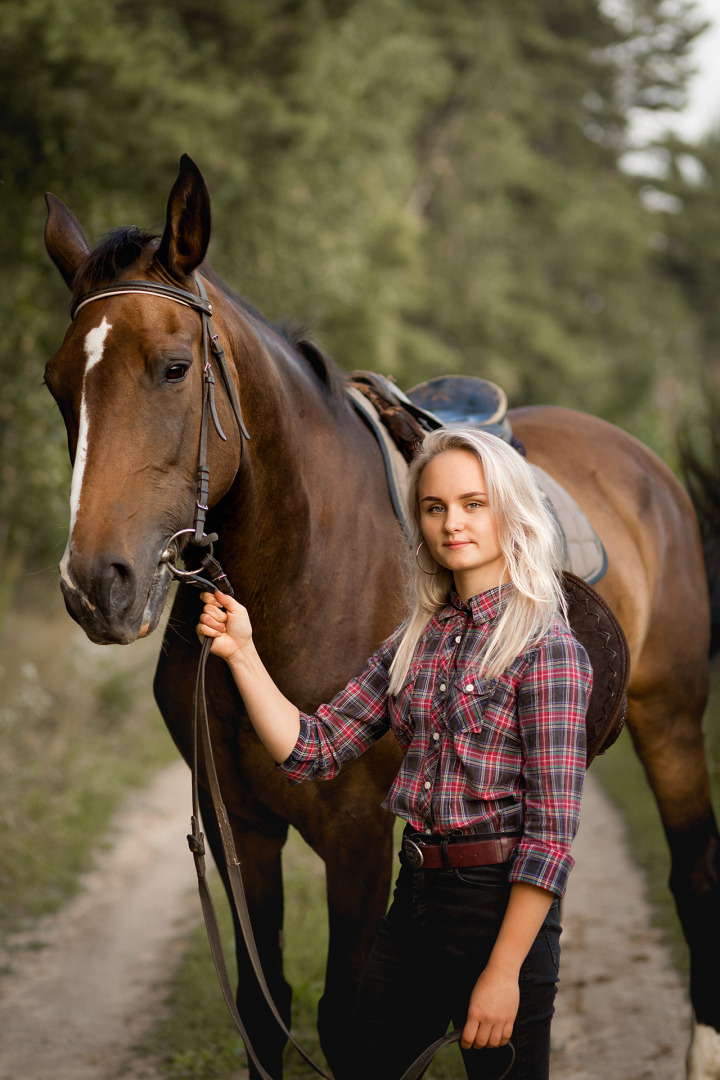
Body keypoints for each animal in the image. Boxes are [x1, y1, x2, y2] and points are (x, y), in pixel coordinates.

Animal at [43, 154, 720, 1080]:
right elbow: (264, 1008)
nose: (95, 585)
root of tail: (639, 461)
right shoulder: (241, 831)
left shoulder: (358, 836)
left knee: (693, 870)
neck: (305, 573)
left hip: (673, 722)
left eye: (175, 368)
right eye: (56, 385)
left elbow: (348, 1018)